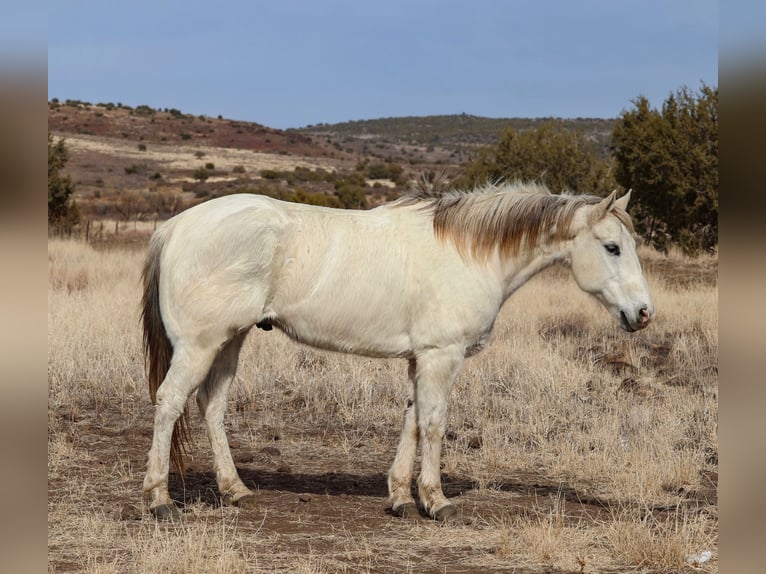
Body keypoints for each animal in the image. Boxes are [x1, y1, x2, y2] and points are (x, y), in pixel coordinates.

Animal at [140, 183, 656, 520]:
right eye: (612, 247)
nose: (644, 312)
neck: (468, 253)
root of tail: (176, 226)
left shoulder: (420, 359)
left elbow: (411, 421)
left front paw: (402, 499)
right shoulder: (442, 356)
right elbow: (434, 424)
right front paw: (437, 501)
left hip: (230, 341)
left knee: (211, 406)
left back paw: (236, 491)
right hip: (201, 345)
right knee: (169, 403)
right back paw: (159, 499)